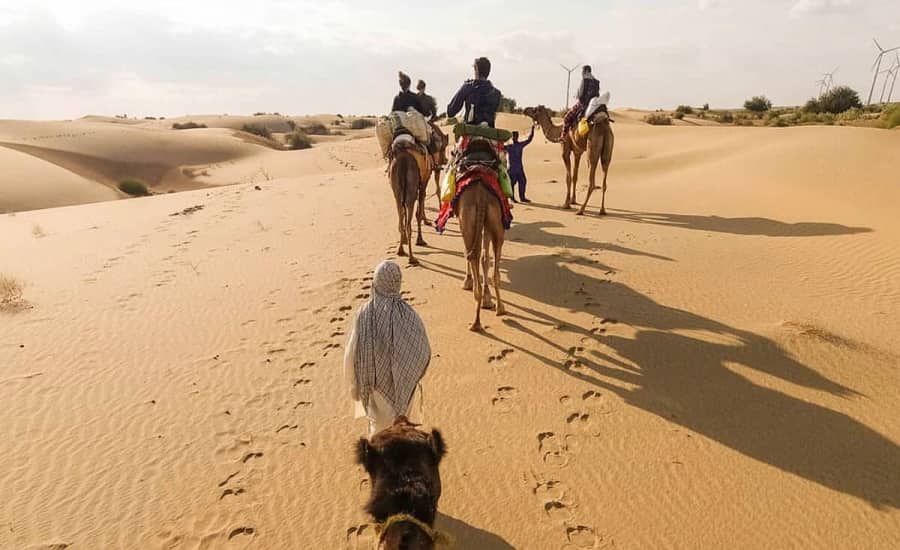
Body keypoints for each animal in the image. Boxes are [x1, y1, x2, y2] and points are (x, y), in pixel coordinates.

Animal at [457, 179, 506, 332]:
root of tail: (481, 197)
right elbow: (485, 258)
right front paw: (487, 298)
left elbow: (474, 255)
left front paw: (467, 282)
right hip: (493, 219)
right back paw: (497, 310)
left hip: (470, 220)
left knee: (473, 255)